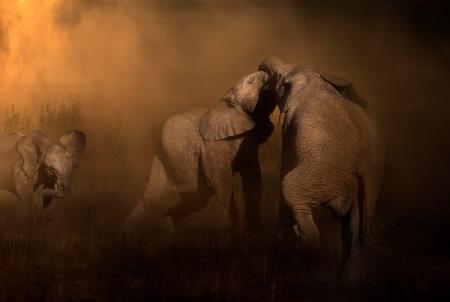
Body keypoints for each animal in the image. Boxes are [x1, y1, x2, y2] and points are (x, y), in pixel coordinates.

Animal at [125, 71, 276, 234]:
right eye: (251, 81)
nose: (267, 73)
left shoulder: (248, 145)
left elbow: (253, 178)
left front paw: (257, 233)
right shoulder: (213, 147)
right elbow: (222, 181)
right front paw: (227, 231)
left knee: (196, 198)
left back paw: (165, 226)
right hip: (164, 157)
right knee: (155, 198)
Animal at [258, 57, 384, 276]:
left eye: (277, 77)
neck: (314, 80)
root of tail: (364, 167)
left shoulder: (288, 130)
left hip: (322, 175)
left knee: (290, 187)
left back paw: (304, 244)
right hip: (368, 184)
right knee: (356, 228)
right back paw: (347, 277)